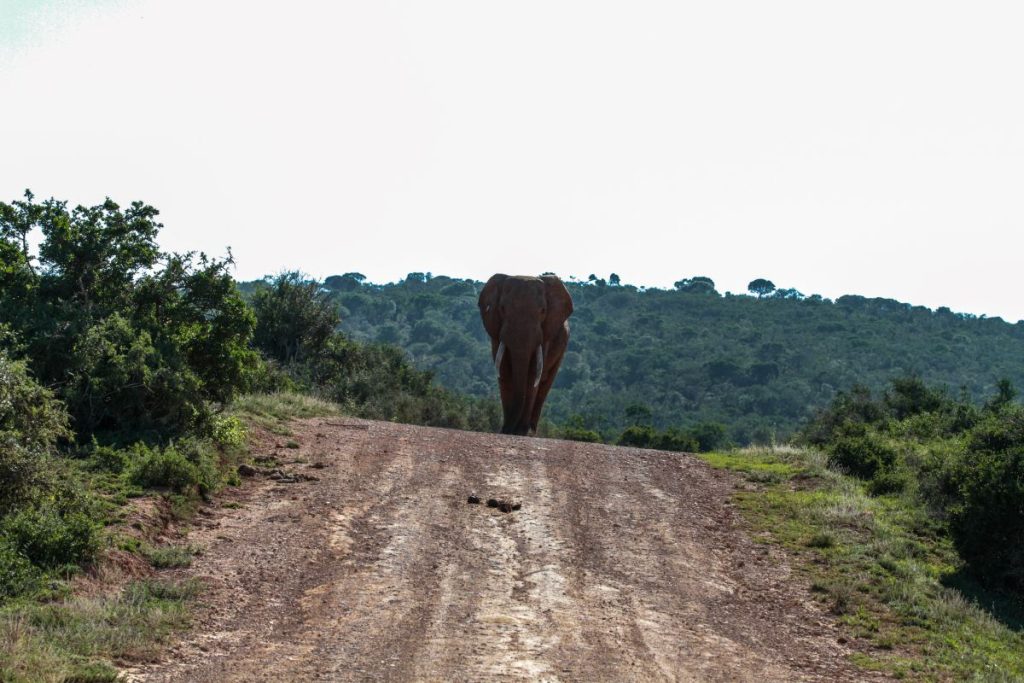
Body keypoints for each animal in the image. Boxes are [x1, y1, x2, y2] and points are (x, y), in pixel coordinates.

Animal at [477, 270, 573, 436]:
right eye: (502, 309)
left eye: (543, 311)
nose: (506, 429)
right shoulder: (497, 333)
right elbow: (504, 371)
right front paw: (507, 430)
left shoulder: (545, 334)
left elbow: (533, 374)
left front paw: (520, 432)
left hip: (562, 346)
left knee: (544, 386)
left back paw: (531, 431)